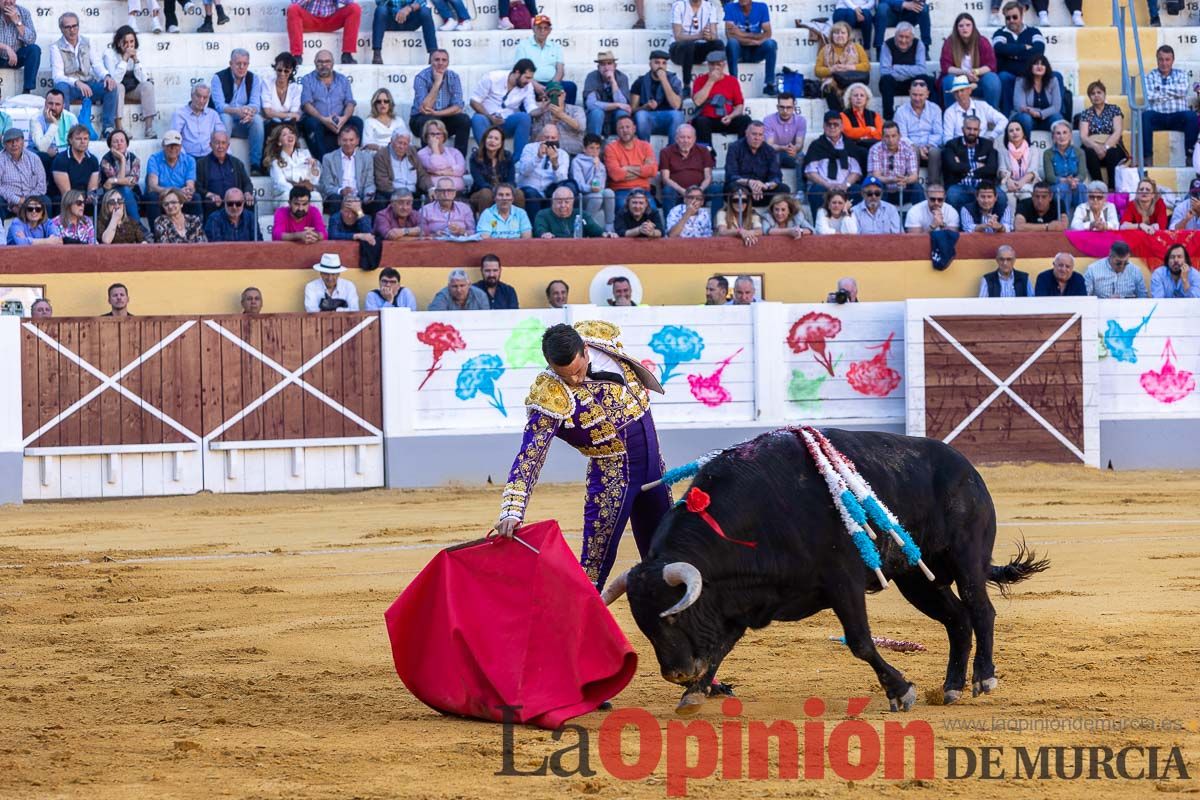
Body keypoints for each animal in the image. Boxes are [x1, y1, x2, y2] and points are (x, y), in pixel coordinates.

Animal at [604, 429, 1046, 714]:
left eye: (673, 616)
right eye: (643, 625)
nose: (677, 673)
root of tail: (967, 468)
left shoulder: (843, 582)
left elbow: (861, 642)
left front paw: (901, 691)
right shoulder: (743, 602)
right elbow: (719, 648)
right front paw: (694, 694)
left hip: (966, 557)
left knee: (981, 610)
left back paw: (983, 679)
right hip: (918, 578)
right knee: (956, 619)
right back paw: (952, 687)